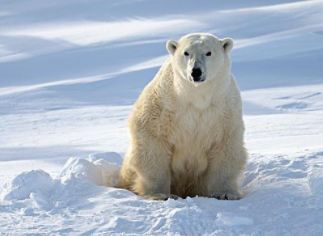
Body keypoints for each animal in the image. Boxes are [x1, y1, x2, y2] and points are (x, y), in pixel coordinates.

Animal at [119, 32, 248, 200]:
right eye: (186, 53)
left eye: (208, 52)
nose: (196, 71)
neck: (196, 97)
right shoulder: (164, 104)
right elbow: (153, 140)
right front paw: (161, 194)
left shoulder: (223, 109)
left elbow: (225, 145)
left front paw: (224, 193)